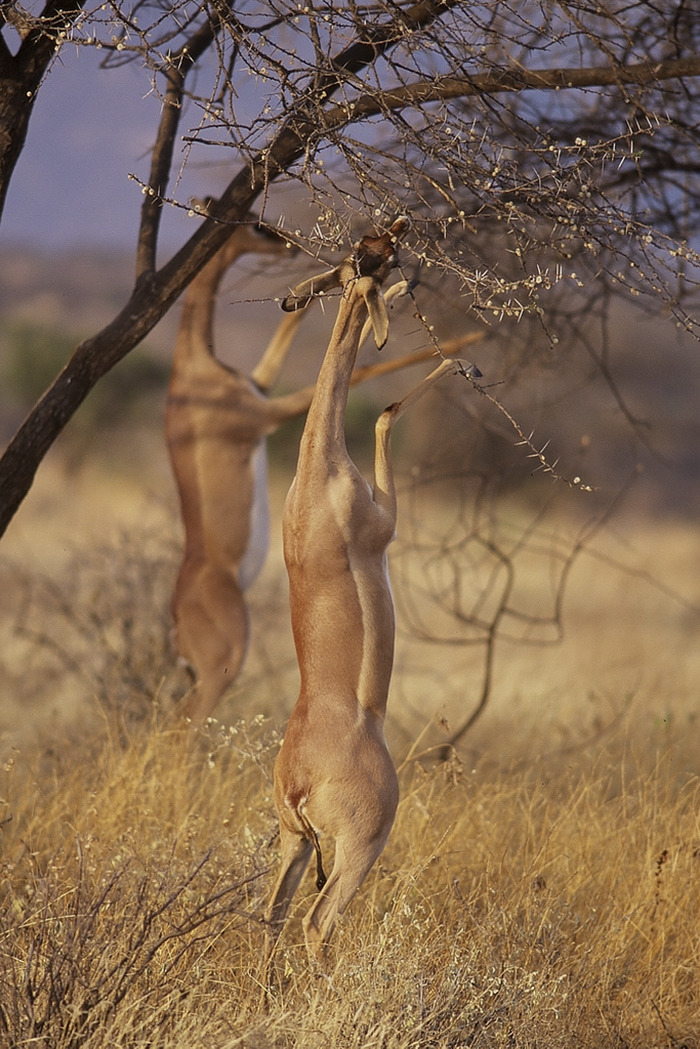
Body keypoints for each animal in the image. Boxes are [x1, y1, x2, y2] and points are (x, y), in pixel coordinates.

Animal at [265, 219, 478, 960]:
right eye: (374, 256)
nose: (402, 227)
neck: (315, 468)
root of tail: (299, 781)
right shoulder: (387, 522)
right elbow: (385, 412)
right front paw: (467, 362)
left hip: (295, 842)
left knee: (271, 916)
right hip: (362, 845)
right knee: (315, 922)